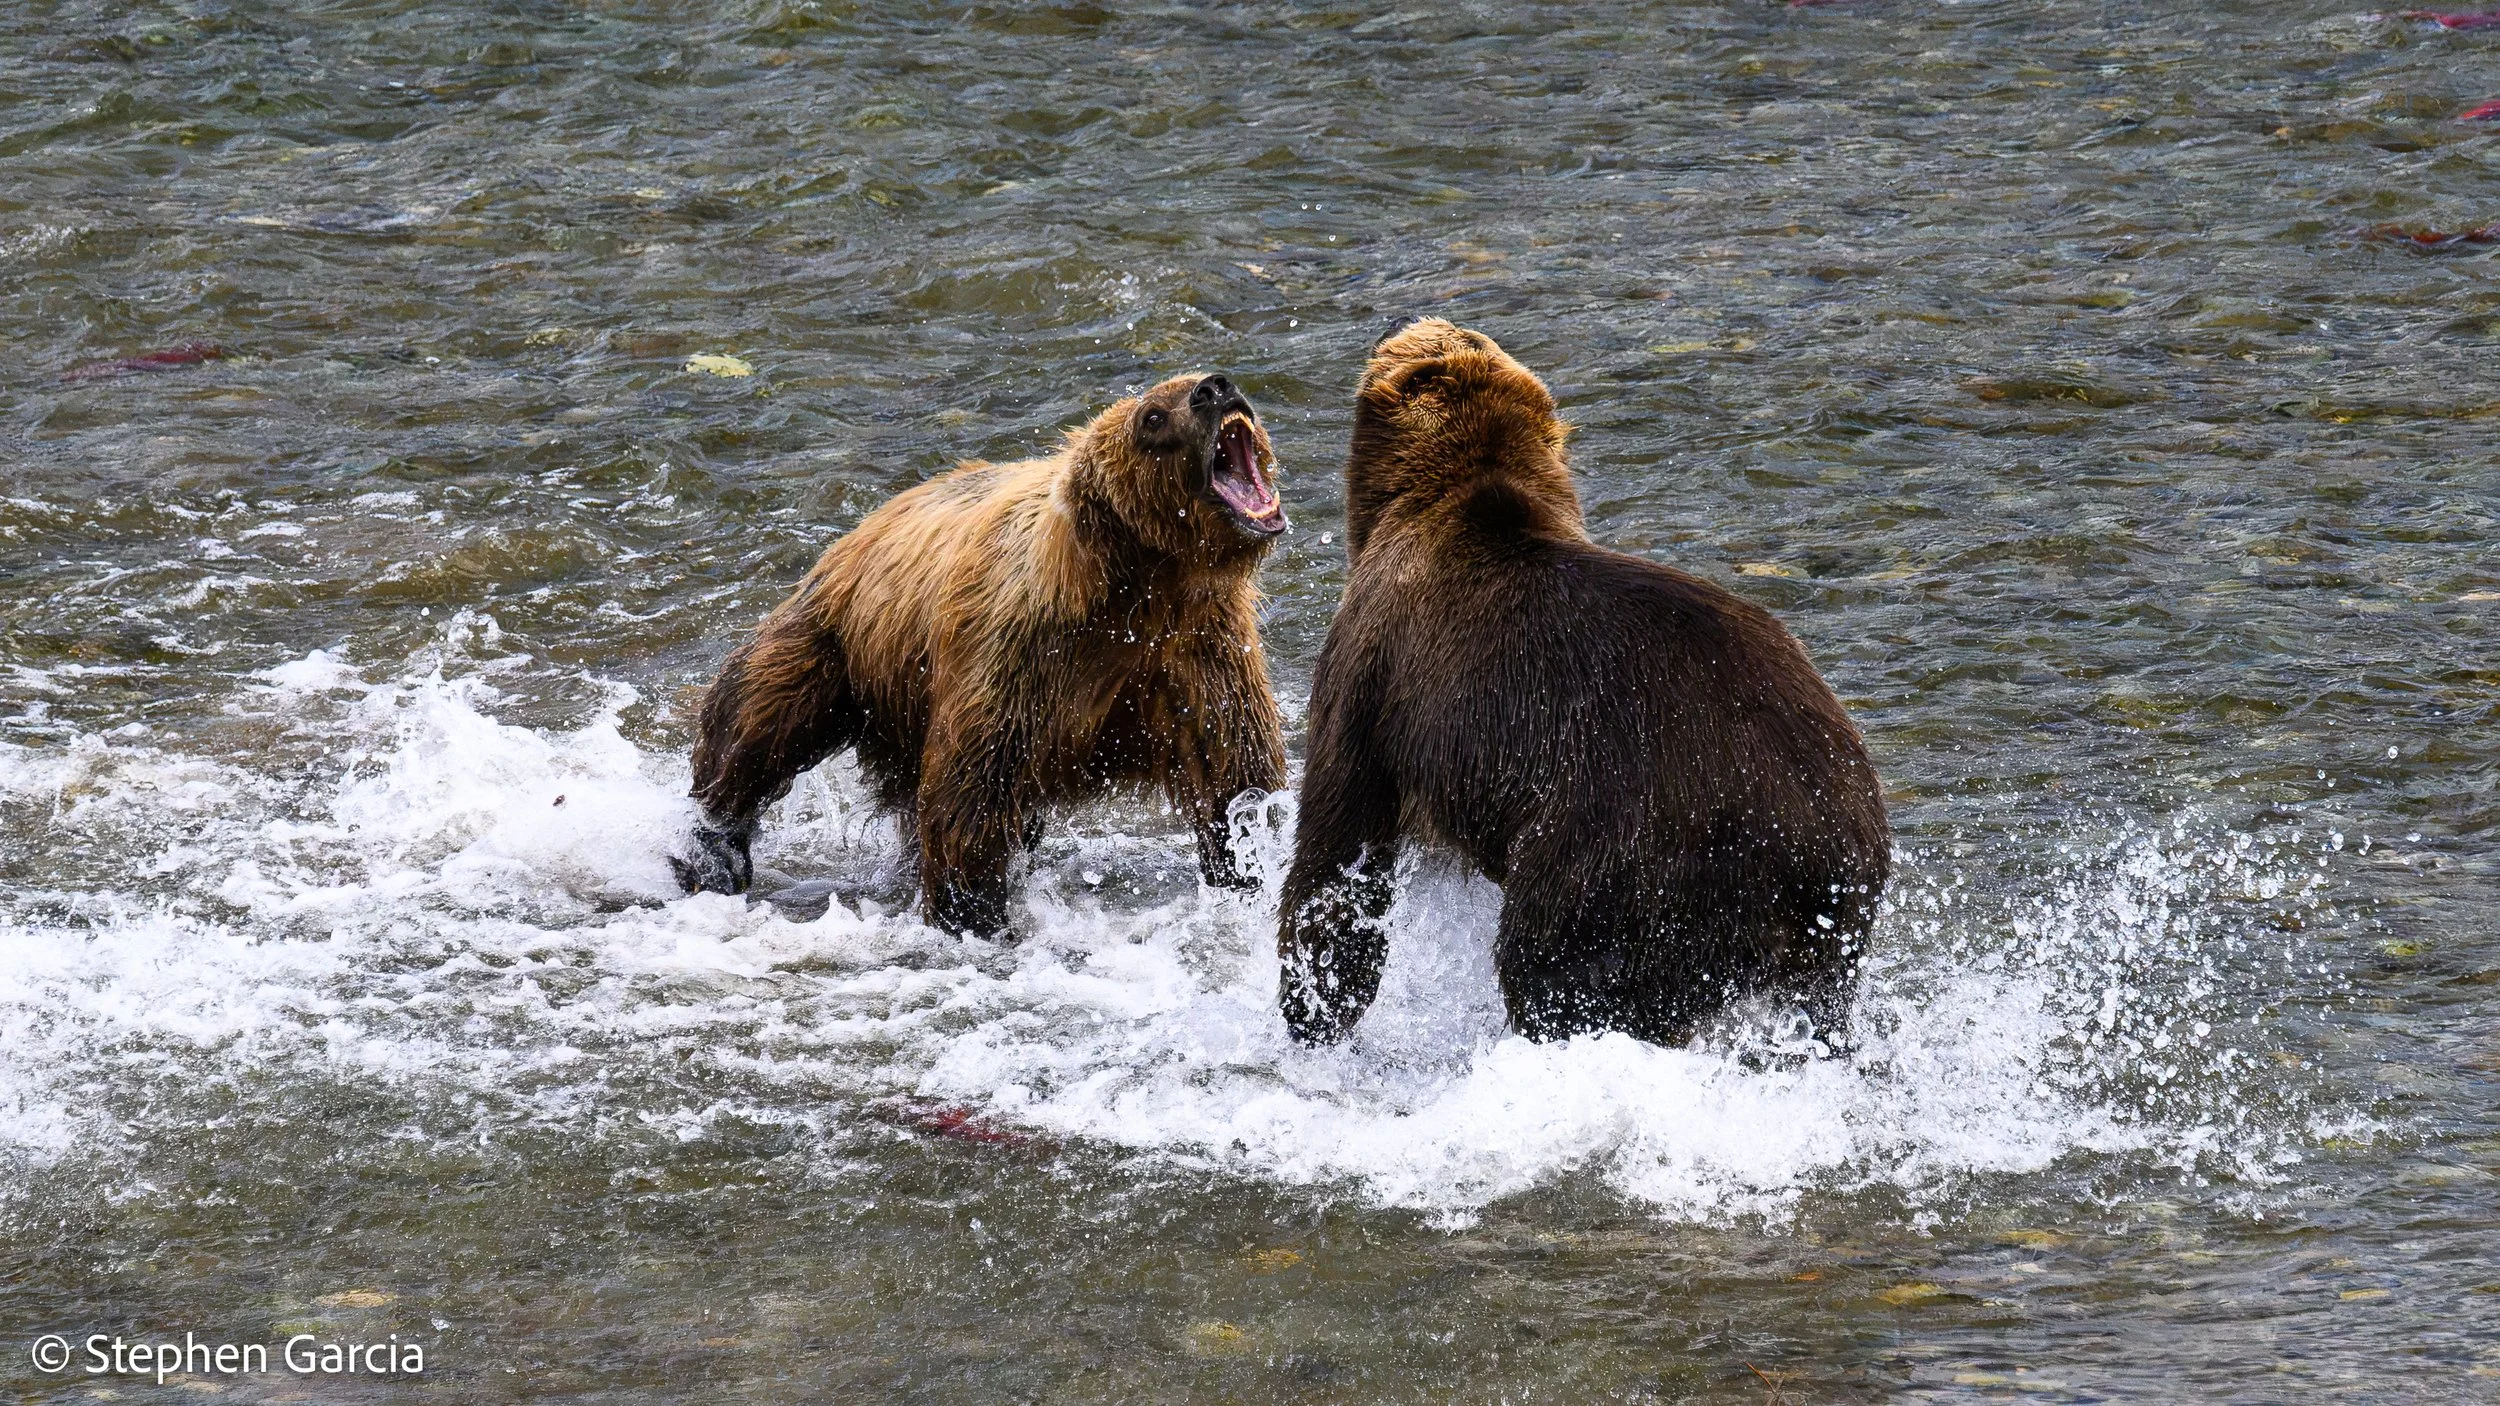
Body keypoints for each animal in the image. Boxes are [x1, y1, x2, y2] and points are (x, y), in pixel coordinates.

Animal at [677, 371, 1290, 938]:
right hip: (838, 646)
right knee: (756, 724)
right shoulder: (1020, 647)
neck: (1141, 582)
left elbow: (1233, 776)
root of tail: (859, 530)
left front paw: (1252, 865)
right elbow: (970, 795)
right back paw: (711, 851)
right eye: (1153, 417)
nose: (1215, 388)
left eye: (1191, 385)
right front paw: (972, 915)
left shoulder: (1196, 649)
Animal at [1275, 319, 1889, 1047]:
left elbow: (1340, 834)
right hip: (1829, 915)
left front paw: (1313, 1003)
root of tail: (1818, 843)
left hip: (1630, 844)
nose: (1405, 320)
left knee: (1555, 970)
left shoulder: (1374, 657)